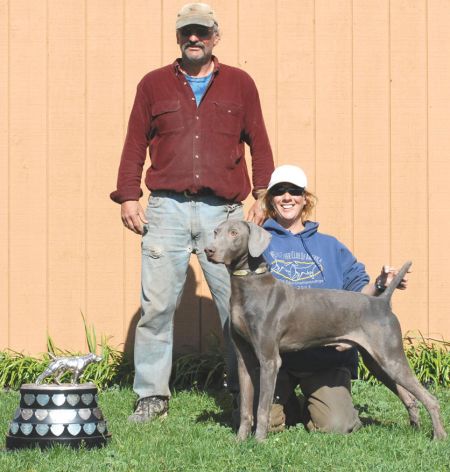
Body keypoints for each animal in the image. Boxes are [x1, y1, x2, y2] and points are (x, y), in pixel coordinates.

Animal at [205, 221, 446, 442]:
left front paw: (259, 443)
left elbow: (262, 408)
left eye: (234, 233)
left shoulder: (269, 360)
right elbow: (247, 408)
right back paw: (415, 428)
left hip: (390, 357)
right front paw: (240, 441)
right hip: (377, 363)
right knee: (410, 397)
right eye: (215, 232)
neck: (248, 286)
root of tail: (382, 302)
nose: (209, 250)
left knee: (430, 398)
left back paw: (439, 437)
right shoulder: (244, 359)